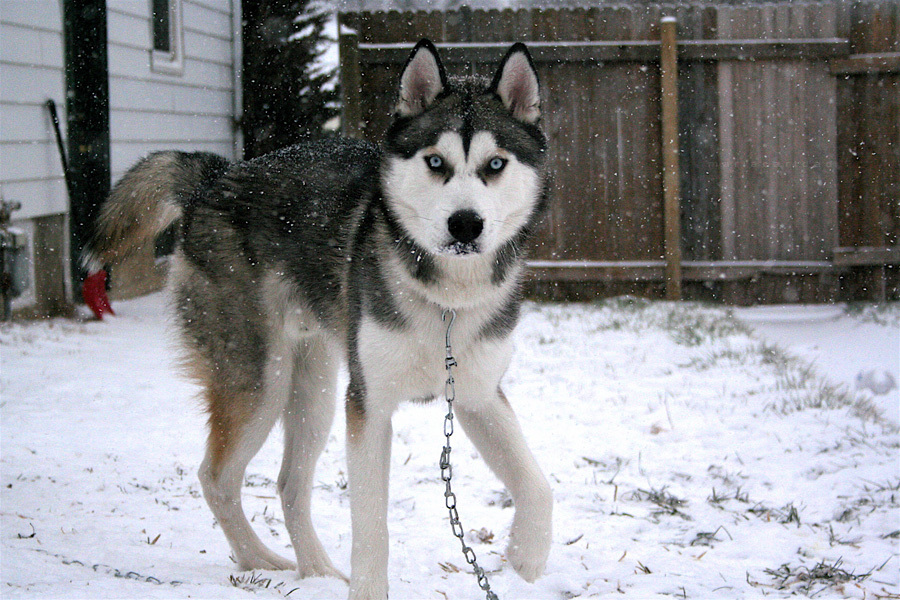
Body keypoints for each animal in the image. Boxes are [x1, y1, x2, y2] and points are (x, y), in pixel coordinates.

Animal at [88, 39, 560, 596]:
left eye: (495, 164)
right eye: (435, 161)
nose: (465, 223)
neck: (445, 298)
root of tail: (215, 178)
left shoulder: (476, 395)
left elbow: (538, 486)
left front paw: (525, 559)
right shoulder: (369, 404)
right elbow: (371, 527)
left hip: (313, 387)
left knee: (289, 484)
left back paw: (317, 571)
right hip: (260, 380)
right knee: (217, 478)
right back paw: (259, 560)